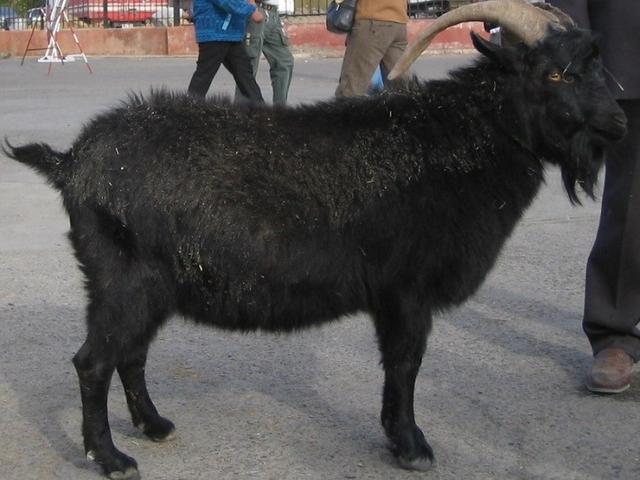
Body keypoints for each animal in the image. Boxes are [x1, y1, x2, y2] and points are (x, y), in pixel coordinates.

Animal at [4, 0, 627, 478]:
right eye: (553, 74)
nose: (619, 124)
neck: (452, 140)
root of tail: (72, 160)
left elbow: (400, 365)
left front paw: (400, 439)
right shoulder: (406, 290)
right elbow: (405, 363)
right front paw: (412, 446)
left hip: (151, 285)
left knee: (130, 354)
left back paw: (153, 426)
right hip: (123, 278)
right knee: (93, 362)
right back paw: (110, 457)